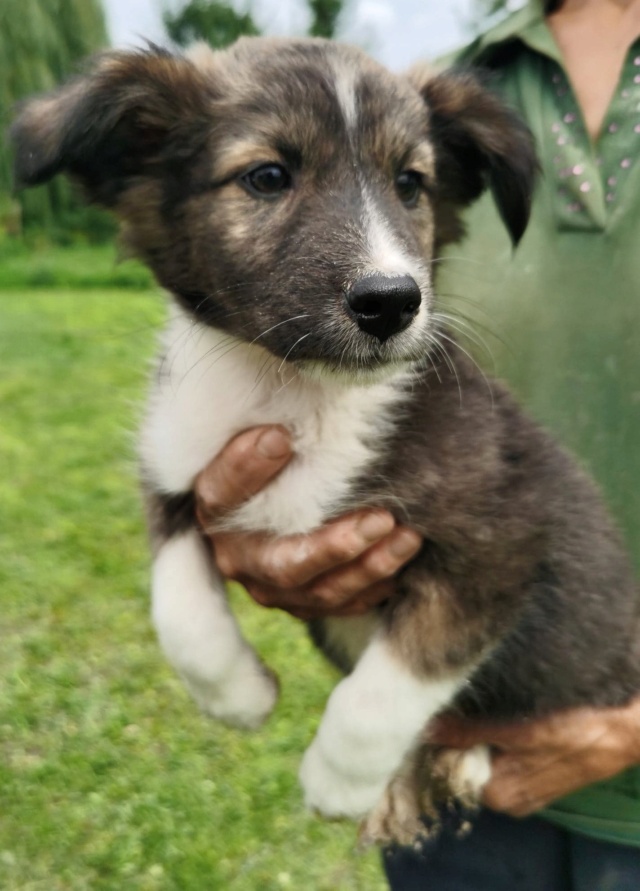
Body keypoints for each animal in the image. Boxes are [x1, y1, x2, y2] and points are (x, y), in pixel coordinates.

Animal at [13, 36, 640, 844]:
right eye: (267, 176)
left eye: (410, 183)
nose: (392, 303)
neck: (296, 389)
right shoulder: (179, 469)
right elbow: (176, 605)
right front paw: (238, 694)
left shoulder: (501, 543)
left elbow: (389, 685)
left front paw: (338, 780)